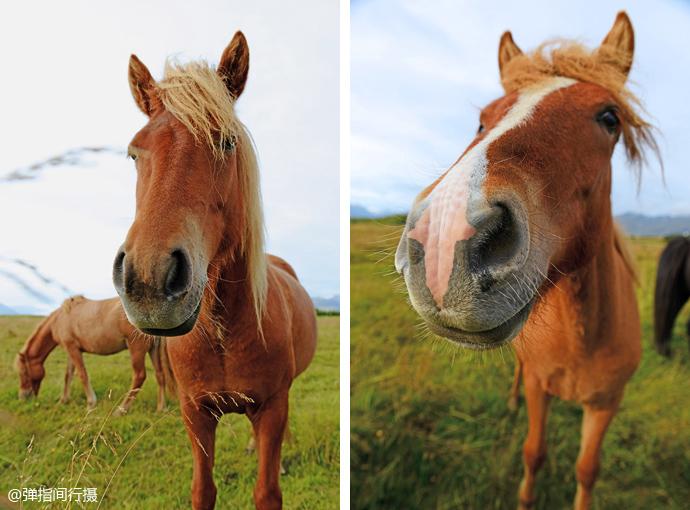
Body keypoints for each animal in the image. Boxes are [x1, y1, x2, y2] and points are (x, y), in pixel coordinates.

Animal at [15, 294, 167, 414]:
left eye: (23, 373)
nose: (22, 397)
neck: (60, 319)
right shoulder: (71, 350)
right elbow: (68, 375)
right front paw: (63, 400)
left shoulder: (73, 349)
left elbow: (82, 375)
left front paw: (90, 404)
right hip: (153, 349)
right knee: (160, 375)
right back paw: (161, 408)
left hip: (136, 349)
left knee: (139, 376)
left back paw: (121, 410)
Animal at [112, 29, 318, 508]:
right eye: (134, 154)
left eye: (226, 141)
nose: (149, 279)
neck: (226, 331)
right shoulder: (195, 412)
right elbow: (202, 490)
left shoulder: (274, 406)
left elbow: (267, 491)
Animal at [392, 11, 652, 510]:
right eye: (482, 120)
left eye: (609, 117)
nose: (445, 238)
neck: (582, 337)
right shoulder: (538, 386)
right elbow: (534, 452)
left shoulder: (606, 404)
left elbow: (587, 469)